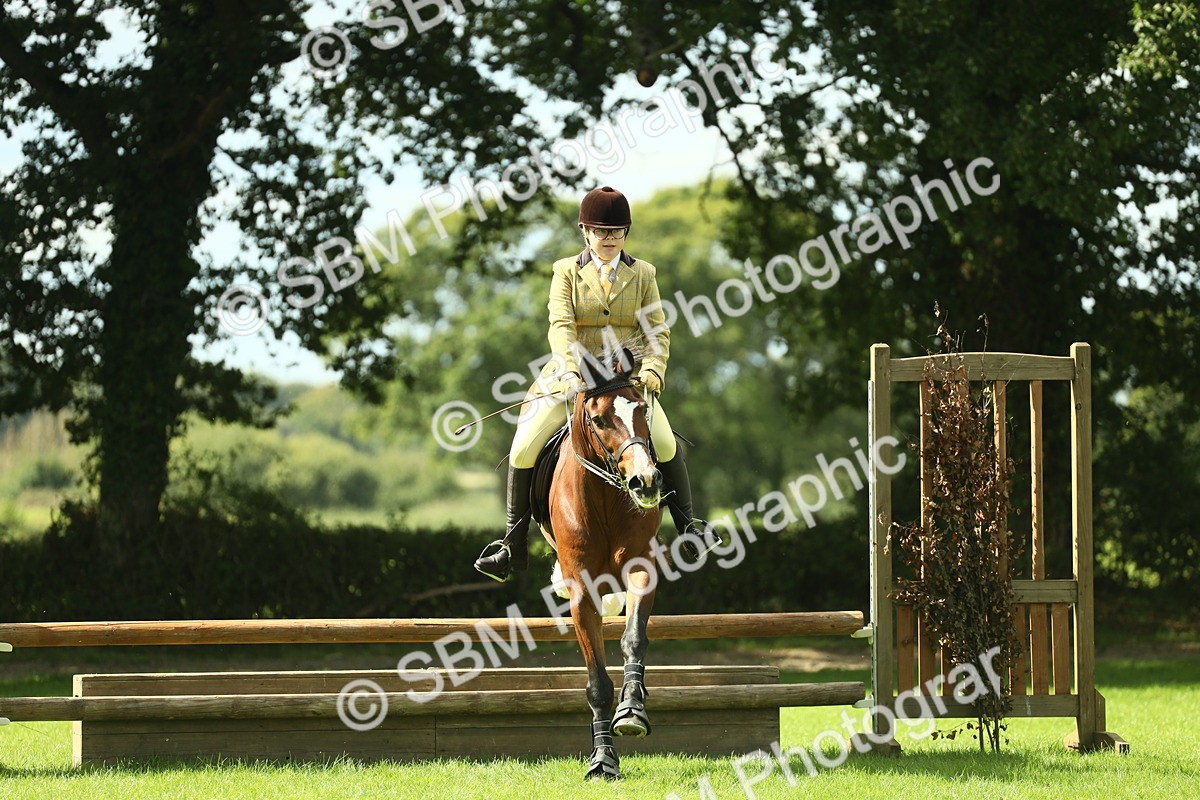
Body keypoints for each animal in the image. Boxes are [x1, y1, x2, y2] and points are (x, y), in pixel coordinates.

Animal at [544, 355, 664, 780]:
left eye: (642, 408)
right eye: (597, 420)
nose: (645, 481)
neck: (605, 497)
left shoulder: (641, 568)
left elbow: (634, 639)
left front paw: (631, 711)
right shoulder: (582, 593)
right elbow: (596, 680)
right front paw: (603, 759)